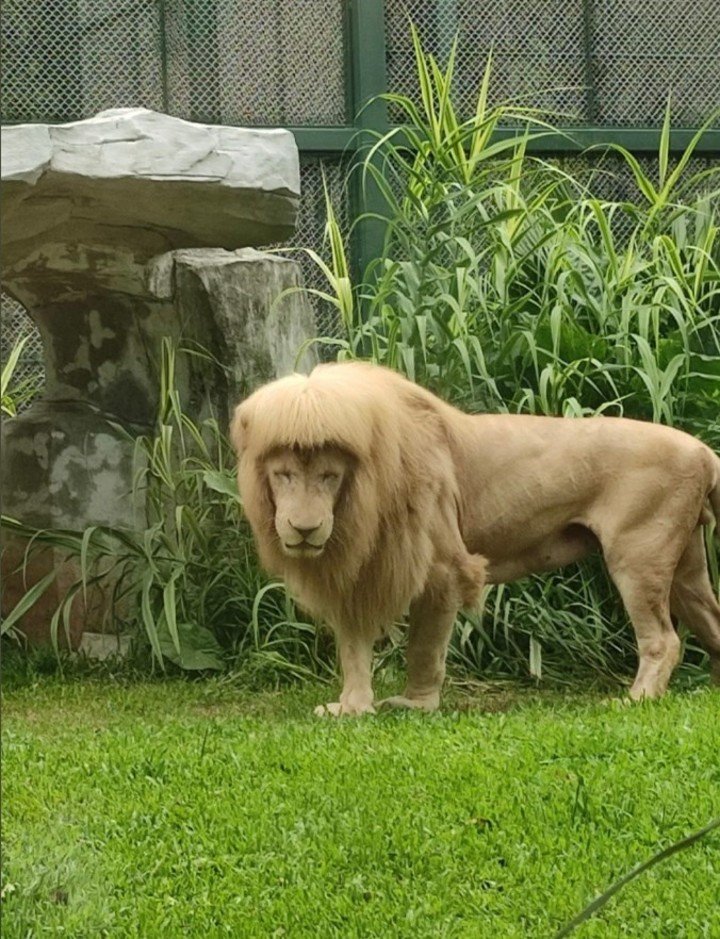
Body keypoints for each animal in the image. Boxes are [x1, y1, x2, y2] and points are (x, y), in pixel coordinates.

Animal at [232, 364, 720, 716]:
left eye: (329, 476)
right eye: (284, 475)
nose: (304, 528)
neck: (359, 501)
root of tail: (702, 450)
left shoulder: (444, 568)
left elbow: (423, 647)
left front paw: (415, 705)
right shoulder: (356, 573)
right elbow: (353, 649)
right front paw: (351, 708)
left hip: (637, 556)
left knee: (664, 639)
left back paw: (637, 698)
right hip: (686, 568)